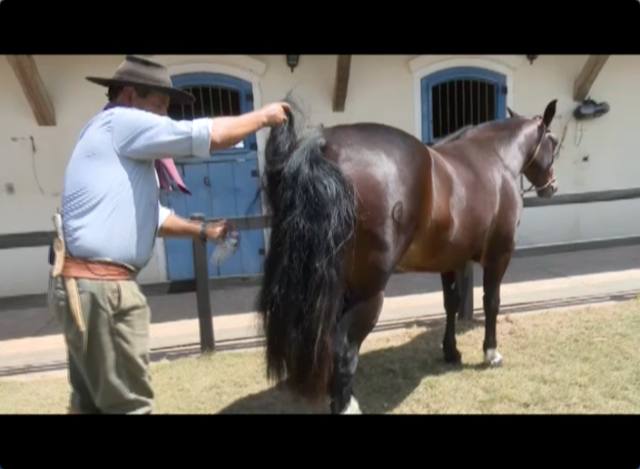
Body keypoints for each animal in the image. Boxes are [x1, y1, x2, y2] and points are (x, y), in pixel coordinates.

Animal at [258, 97, 556, 412]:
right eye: (554, 141)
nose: (552, 186)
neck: (495, 159)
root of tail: (323, 145)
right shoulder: (498, 256)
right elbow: (491, 303)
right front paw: (491, 353)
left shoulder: (451, 260)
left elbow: (451, 304)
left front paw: (451, 351)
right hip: (366, 292)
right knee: (344, 347)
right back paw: (346, 405)